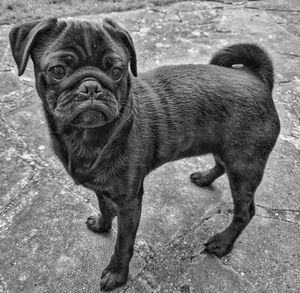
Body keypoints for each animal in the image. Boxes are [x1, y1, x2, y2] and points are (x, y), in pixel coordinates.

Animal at [9, 17, 282, 290]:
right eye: (57, 70)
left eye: (117, 71)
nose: (91, 86)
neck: (85, 137)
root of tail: (256, 76)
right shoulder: (101, 188)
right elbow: (104, 206)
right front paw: (102, 225)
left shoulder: (129, 203)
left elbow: (123, 243)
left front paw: (116, 274)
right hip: (224, 148)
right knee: (221, 164)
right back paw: (205, 178)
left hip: (244, 167)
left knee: (245, 212)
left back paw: (223, 243)